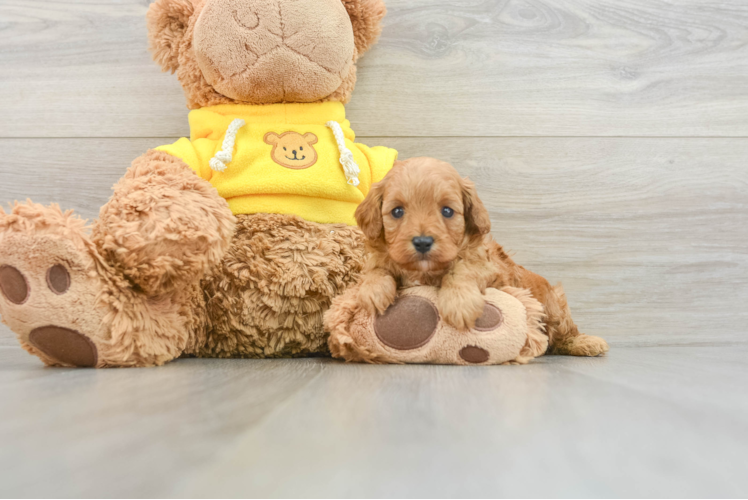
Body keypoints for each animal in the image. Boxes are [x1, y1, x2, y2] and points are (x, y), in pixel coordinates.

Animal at [356, 156, 608, 356]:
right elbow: (376, 269)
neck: (425, 272)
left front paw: (459, 303)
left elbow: (462, 268)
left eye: (447, 211)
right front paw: (372, 290)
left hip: (555, 305)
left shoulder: (489, 268)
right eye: (397, 211)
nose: (422, 242)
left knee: (564, 331)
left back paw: (586, 343)